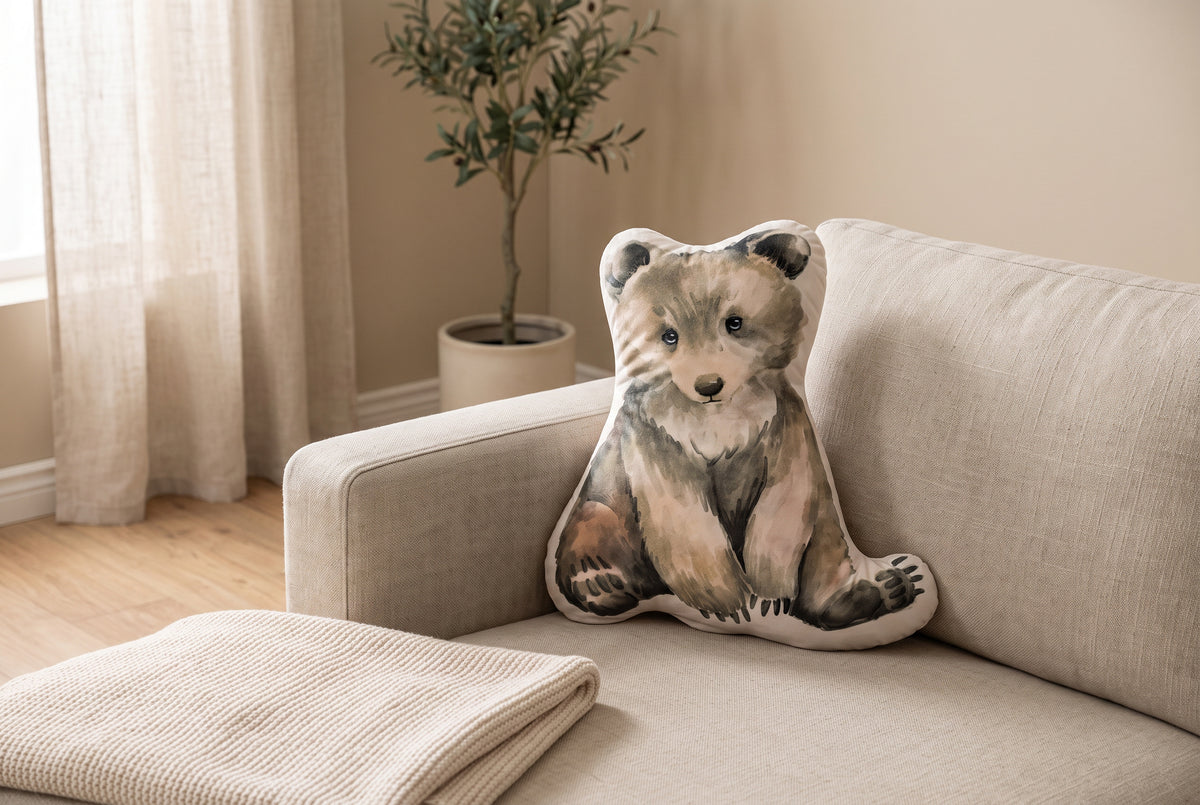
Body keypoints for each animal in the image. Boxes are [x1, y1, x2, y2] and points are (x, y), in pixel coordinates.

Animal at [545, 221, 937, 650]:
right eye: (669, 335)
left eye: (734, 322)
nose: (708, 384)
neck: (718, 418)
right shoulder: (658, 437)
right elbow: (683, 515)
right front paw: (729, 604)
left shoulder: (781, 427)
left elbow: (783, 504)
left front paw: (768, 597)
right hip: (604, 509)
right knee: (595, 520)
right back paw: (600, 582)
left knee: (825, 531)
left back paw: (879, 590)